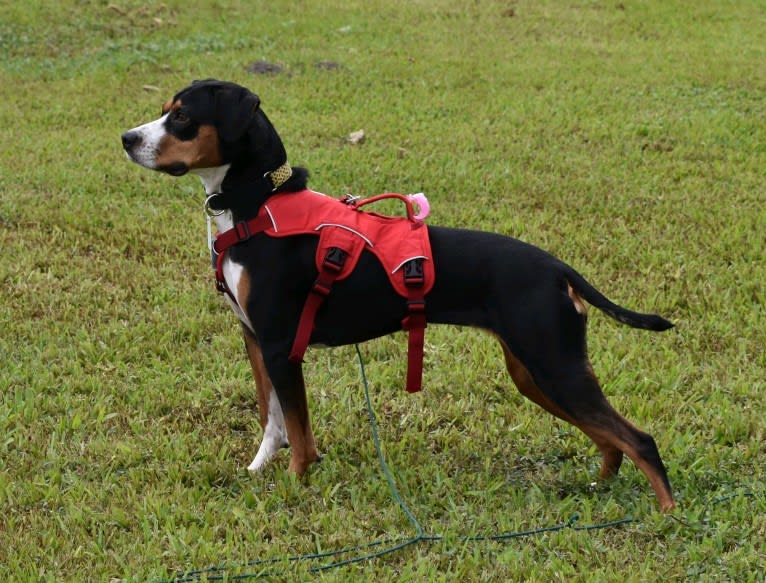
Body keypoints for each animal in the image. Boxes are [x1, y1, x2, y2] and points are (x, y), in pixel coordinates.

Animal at [121, 78, 680, 512]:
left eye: (183, 116)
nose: (126, 138)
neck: (257, 208)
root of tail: (558, 268)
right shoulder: (255, 340)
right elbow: (272, 420)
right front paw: (261, 470)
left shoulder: (282, 346)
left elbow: (298, 432)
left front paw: (297, 484)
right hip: (537, 372)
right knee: (611, 439)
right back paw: (599, 487)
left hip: (553, 367)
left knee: (641, 440)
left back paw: (667, 514)